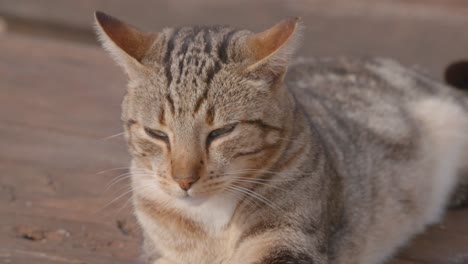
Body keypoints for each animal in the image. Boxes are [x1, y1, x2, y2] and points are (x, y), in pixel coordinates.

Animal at [94, 10, 468, 264]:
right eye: (156, 133)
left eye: (222, 131)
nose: (183, 180)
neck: (211, 220)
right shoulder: (162, 250)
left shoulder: (289, 239)